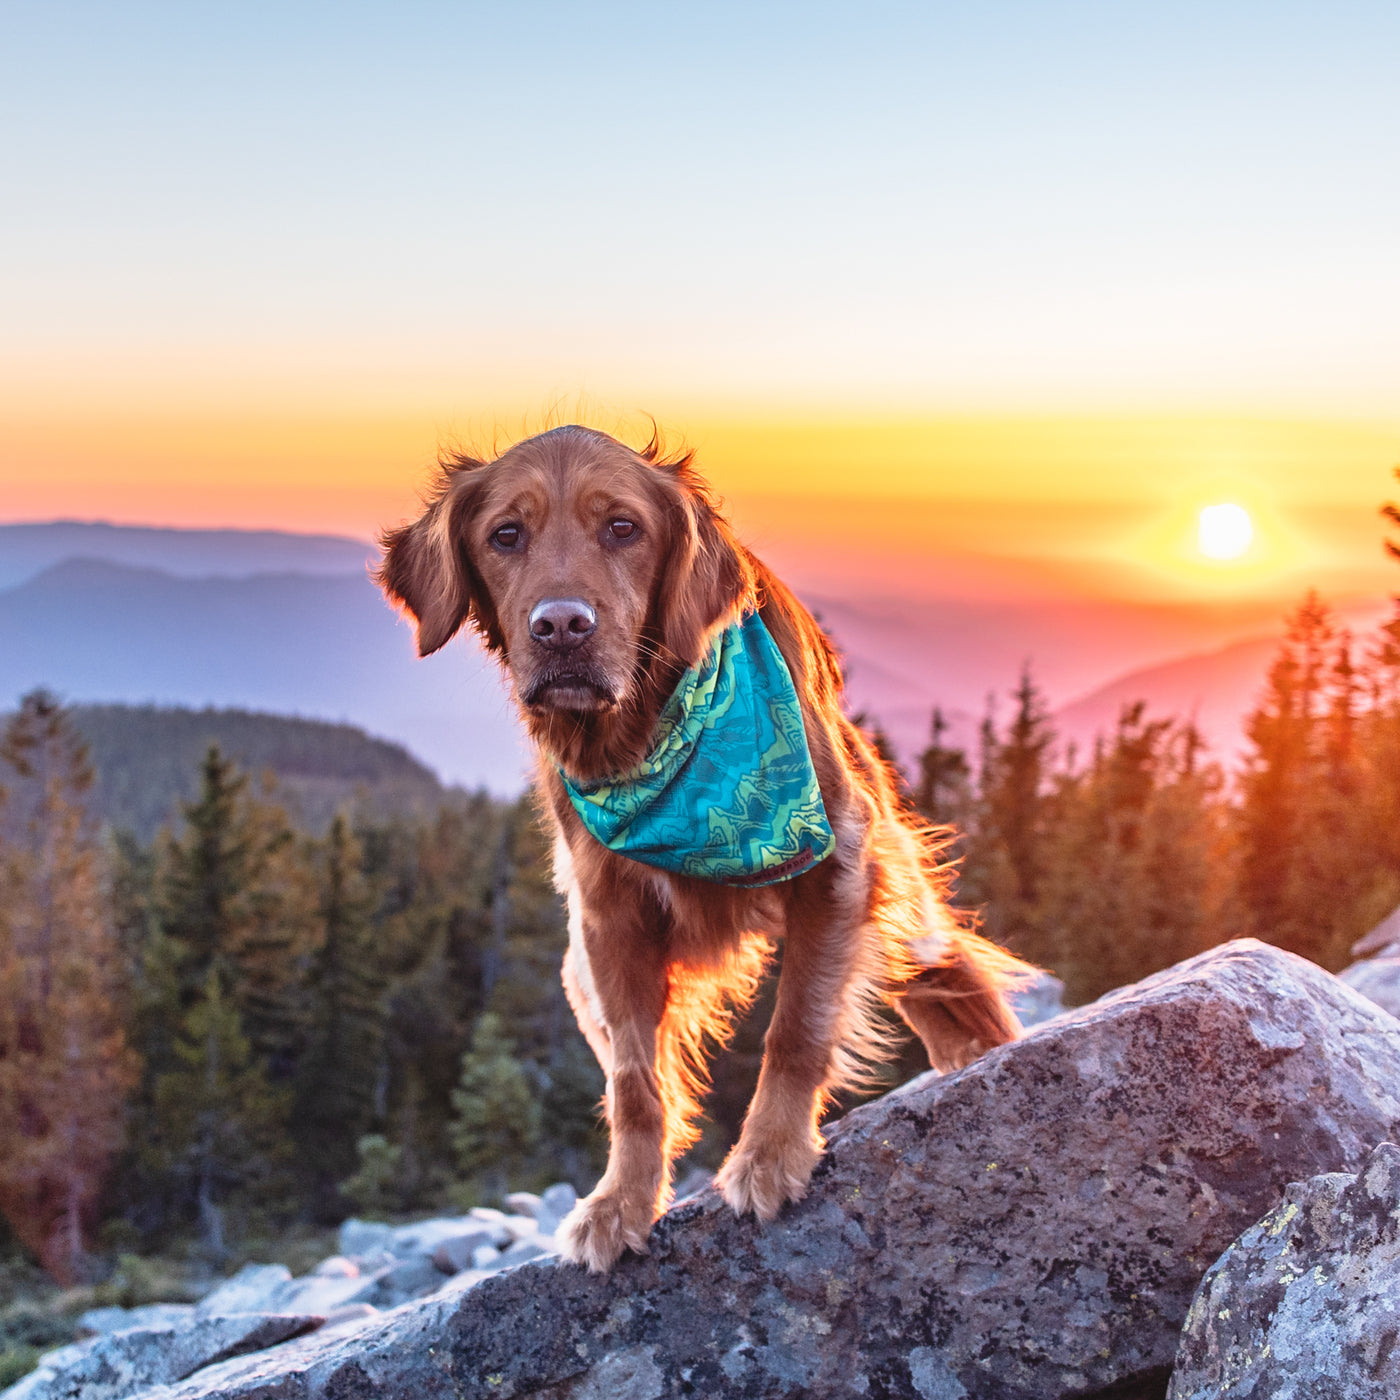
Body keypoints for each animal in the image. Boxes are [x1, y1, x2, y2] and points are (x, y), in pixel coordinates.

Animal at [378, 422, 1036, 1271]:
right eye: (506, 535)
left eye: (623, 528)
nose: (561, 627)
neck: (645, 739)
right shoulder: (606, 920)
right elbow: (634, 1081)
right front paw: (620, 1200)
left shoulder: (836, 861)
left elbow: (797, 1028)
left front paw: (769, 1155)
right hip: (576, 973)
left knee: (940, 959)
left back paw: (982, 1042)